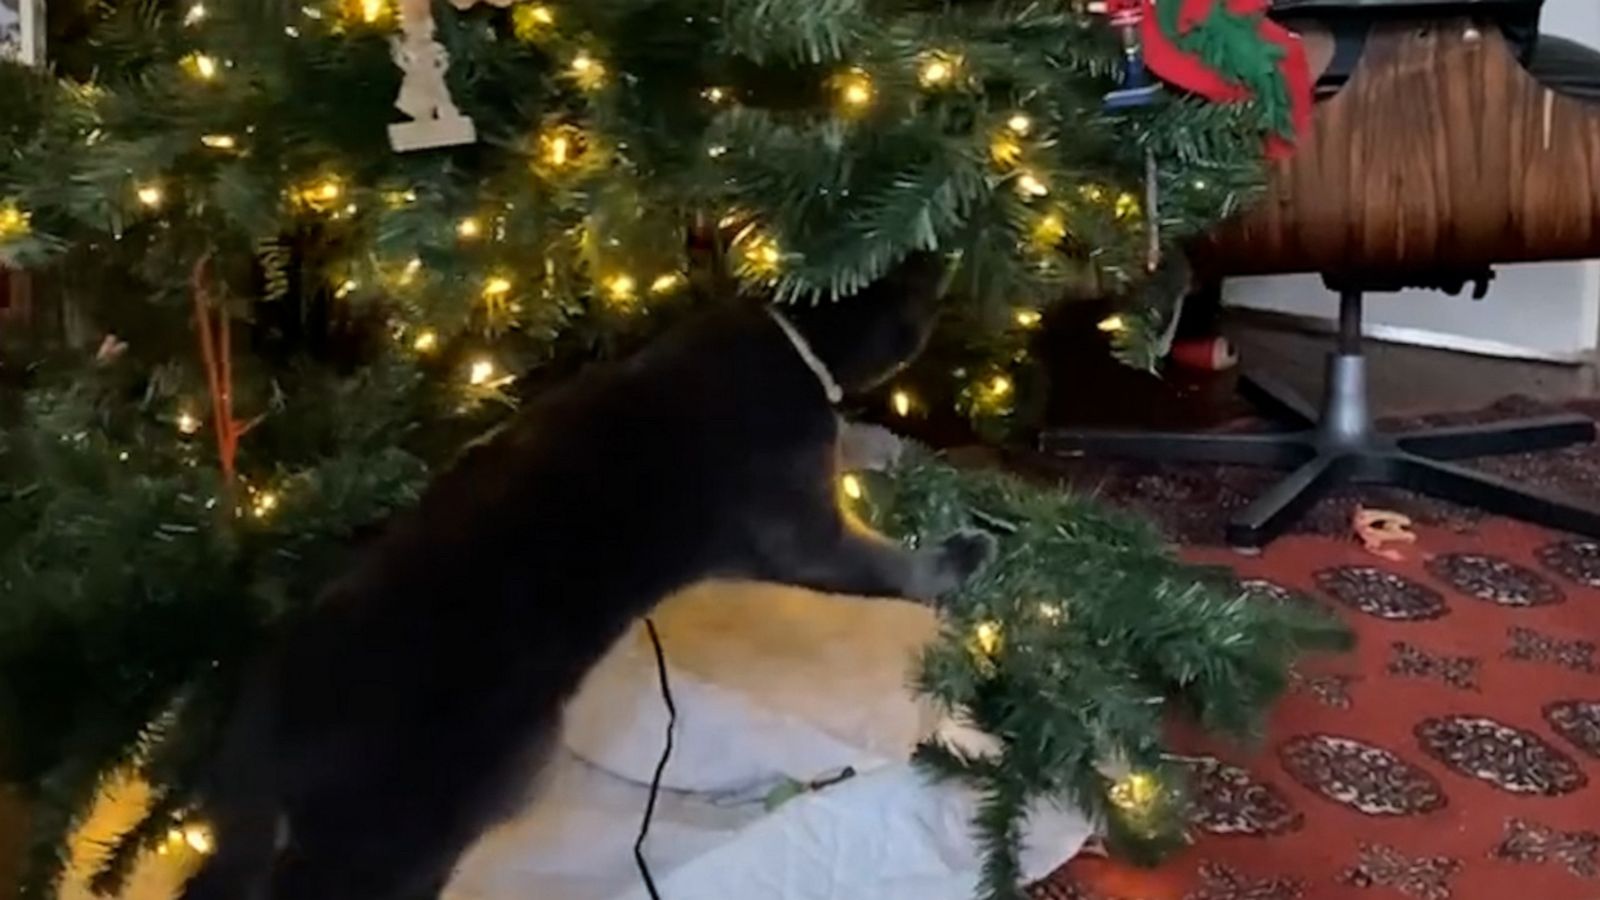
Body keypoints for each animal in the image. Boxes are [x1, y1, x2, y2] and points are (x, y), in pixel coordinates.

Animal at [181, 253, 992, 896]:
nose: (941, 256)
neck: (787, 340)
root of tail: (261, 717)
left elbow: (850, 438)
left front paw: (885, 445)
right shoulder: (794, 523)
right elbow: (882, 562)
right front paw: (956, 553)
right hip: (424, 814)